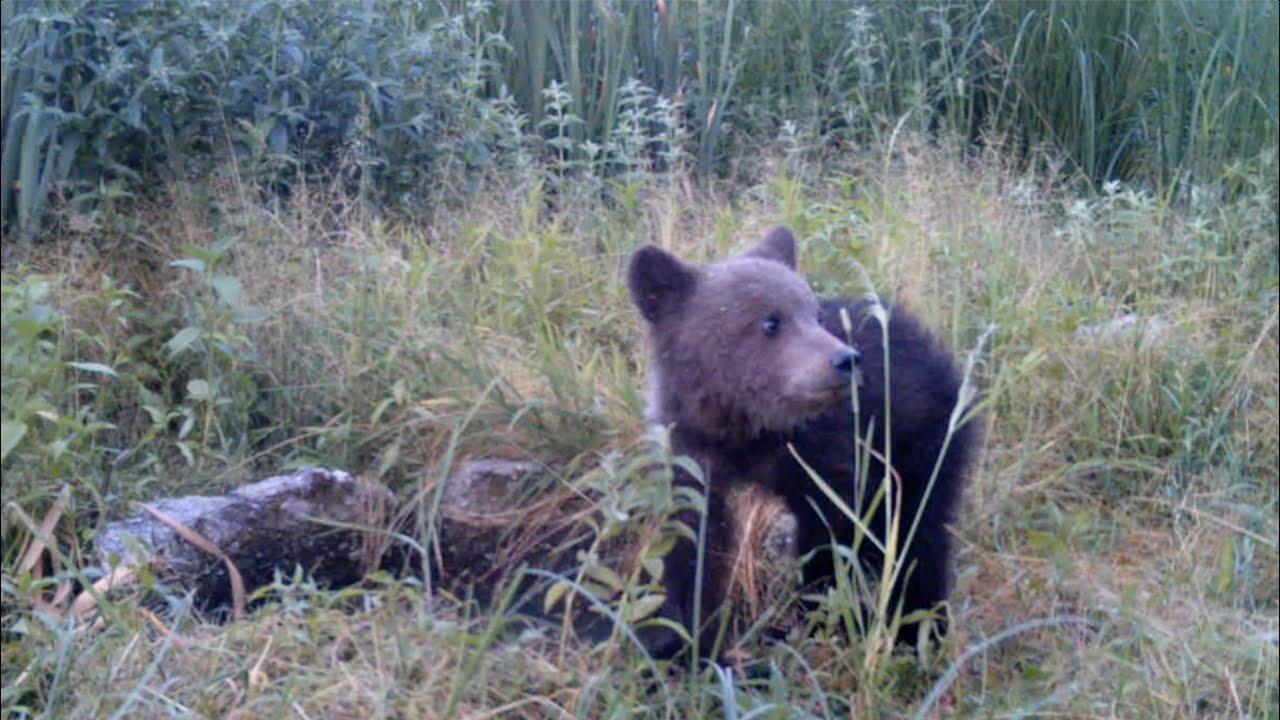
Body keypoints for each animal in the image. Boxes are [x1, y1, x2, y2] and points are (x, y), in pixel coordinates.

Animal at [626, 225, 979, 662]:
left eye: (814, 314)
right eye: (771, 321)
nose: (845, 359)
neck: (747, 429)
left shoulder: (828, 454)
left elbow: (833, 533)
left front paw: (815, 616)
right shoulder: (691, 455)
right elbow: (692, 541)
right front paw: (688, 640)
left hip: (923, 439)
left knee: (918, 533)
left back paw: (917, 628)